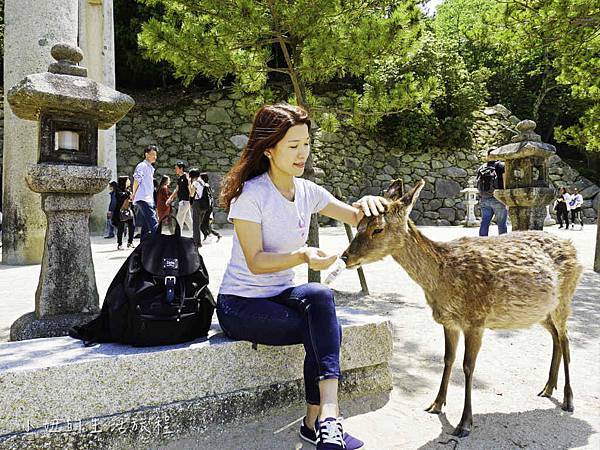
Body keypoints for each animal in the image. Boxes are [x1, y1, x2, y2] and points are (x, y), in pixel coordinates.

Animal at [342, 178, 580, 436]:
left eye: (377, 229)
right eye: (359, 224)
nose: (345, 257)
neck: (443, 278)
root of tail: (574, 249)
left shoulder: (476, 319)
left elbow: (468, 366)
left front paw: (464, 423)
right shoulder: (448, 321)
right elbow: (448, 359)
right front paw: (436, 404)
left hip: (564, 299)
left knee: (566, 340)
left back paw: (568, 399)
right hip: (543, 311)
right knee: (556, 337)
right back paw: (547, 388)